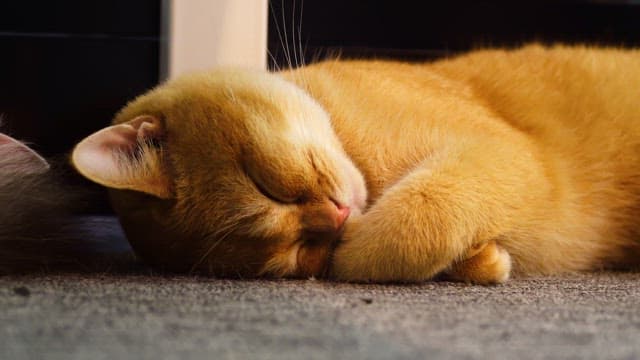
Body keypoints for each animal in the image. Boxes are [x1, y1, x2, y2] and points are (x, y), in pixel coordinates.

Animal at [70, 43, 640, 282]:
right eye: (299, 255)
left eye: (266, 183)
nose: (338, 218)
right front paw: (483, 261)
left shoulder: (511, 154)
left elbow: (398, 234)